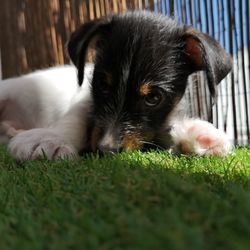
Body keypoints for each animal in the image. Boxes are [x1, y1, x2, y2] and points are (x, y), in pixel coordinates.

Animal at [0, 11, 232, 160]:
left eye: (153, 97)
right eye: (102, 84)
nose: (105, 150)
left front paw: (197, 135)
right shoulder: (85, 100)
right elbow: (74, 119)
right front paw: (50, 139)